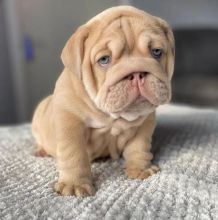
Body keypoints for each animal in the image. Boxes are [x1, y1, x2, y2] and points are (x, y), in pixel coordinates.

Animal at [31, 6, 175, 197]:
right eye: (104, 60)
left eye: (157, 52)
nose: (137, 74)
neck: (113, 116)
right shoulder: (69, 122)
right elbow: (73, 153)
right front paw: (74, 184)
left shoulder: (145, 124)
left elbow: (139, 147)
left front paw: (141, 169)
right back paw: (40, 150)